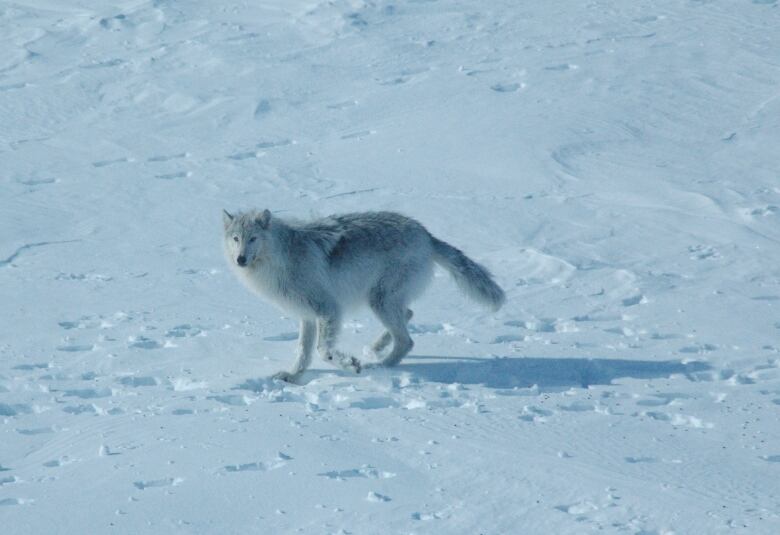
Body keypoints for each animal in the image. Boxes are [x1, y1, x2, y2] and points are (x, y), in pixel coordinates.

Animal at [222, 209, 508, 382]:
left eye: (253, 238)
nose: (240, 259)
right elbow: (303, 352)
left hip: (380, 301)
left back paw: (378, 366)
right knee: (408, 315)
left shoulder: (328, 309)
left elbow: (323, 350)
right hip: (383, 301)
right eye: (236, 239)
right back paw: (376, 348)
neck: (281, 259)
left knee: (407, 340)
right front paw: (293, 377)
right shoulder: (307, 315)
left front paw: (350, 365)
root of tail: (425, 234)